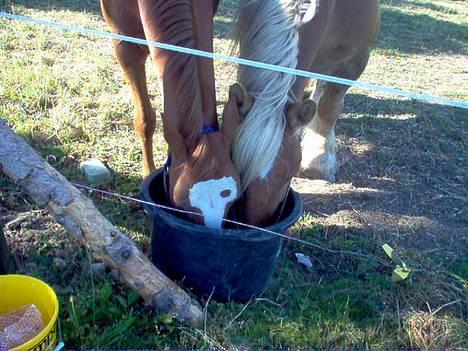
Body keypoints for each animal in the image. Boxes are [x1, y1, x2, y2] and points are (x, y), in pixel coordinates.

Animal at [99, 0, 380, 228]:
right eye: (181, 205)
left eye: (289, 175)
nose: (251, 225)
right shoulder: (123, 42)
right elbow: (146, 118)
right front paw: (146, 176)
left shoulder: (355, 59)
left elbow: (330, 105)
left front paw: (320, 162)